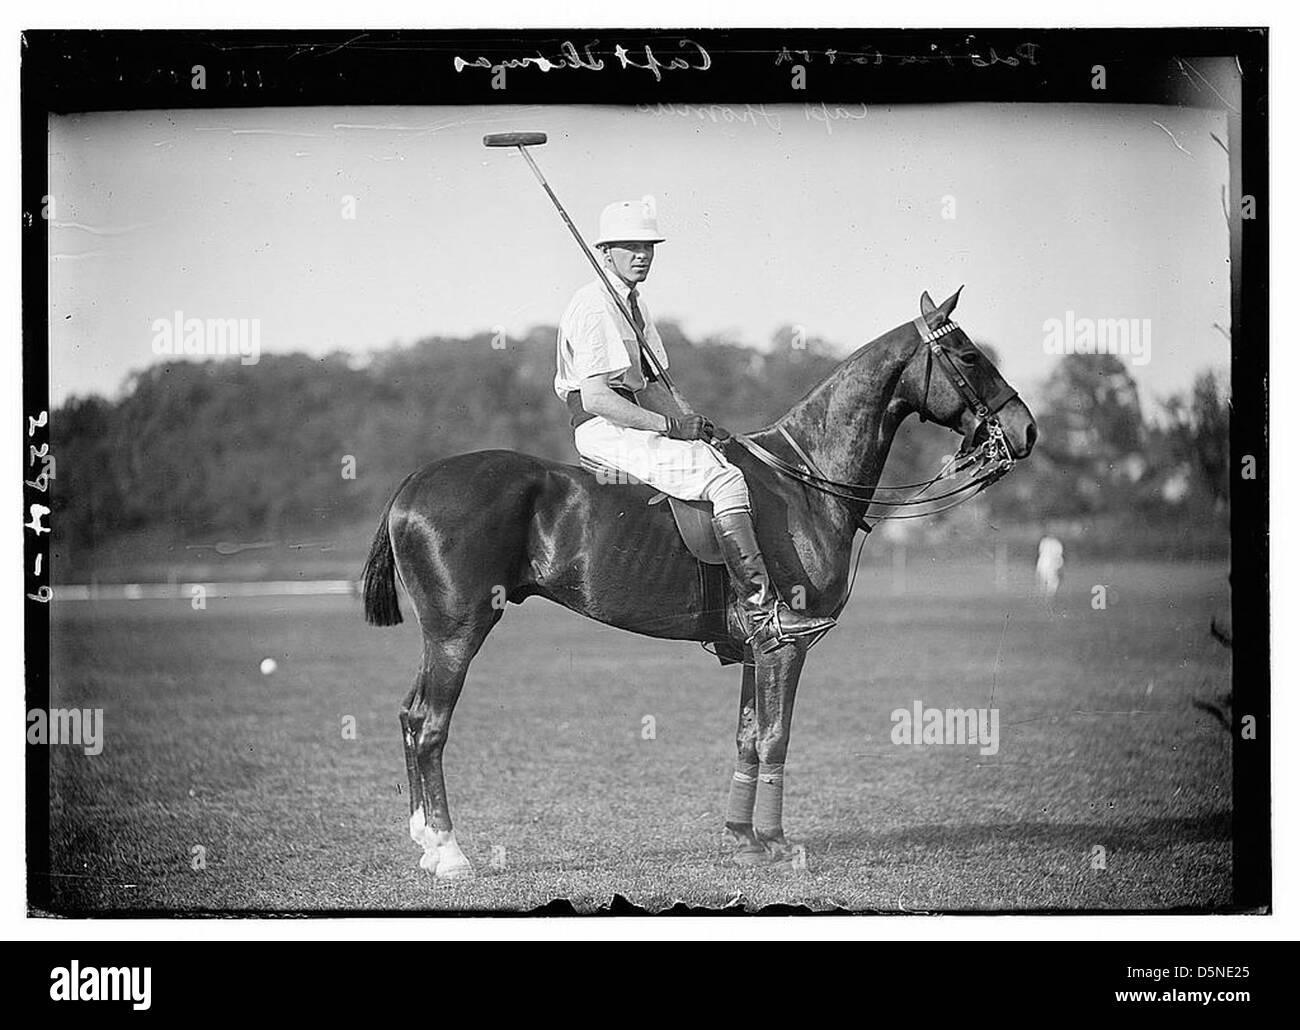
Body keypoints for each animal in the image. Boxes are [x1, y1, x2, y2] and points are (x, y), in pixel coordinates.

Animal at [362, 287, 1037, 878]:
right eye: (970, 355)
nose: (1026, 431)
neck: (806, 484)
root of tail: (410, 485)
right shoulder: (787, 644)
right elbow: (776, 736)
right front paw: (779, 843)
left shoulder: (754, 648)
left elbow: (746, 736)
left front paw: (744, 839)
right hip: (460, 626)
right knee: (430, 724)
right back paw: (450, 854)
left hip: (440, 631)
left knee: (408, 713)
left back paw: (424, 842)